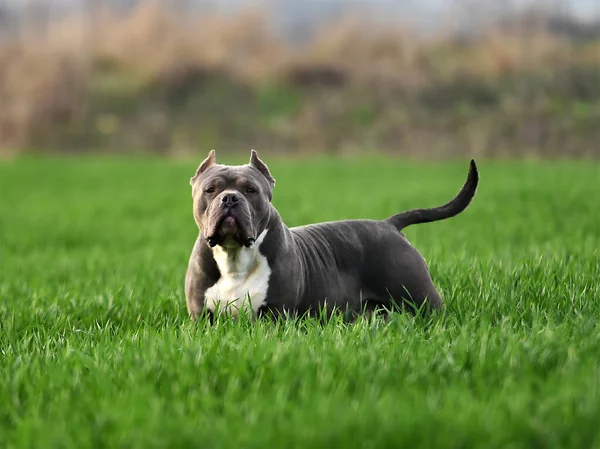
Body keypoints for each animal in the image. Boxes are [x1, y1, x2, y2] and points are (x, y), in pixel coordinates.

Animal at [183, 152, 478, 320]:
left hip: (421, 298)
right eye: (210, 189)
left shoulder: (276, 315)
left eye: (251, 190)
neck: (235, 255)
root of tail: (390, 225)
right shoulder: (201, 319)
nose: (230, 198)